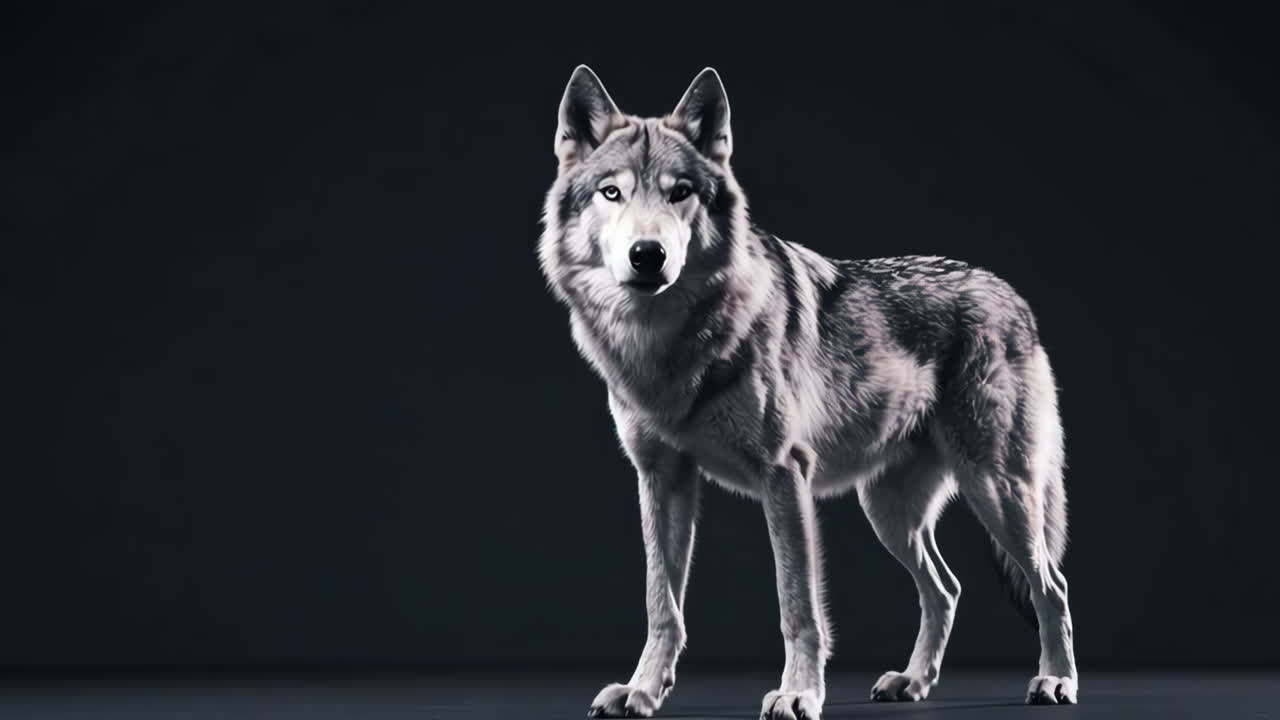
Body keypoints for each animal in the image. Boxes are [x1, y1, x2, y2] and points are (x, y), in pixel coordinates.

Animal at [538, 66, 1079, 719]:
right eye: (612, 193)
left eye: (680, 192)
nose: (648, 255)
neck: (670, 348)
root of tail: (1011, 294)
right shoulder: (660, 478)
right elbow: (661, 604)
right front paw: (642, 690)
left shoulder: (784, 476)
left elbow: (797, 604)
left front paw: (799, 693)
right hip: (889, 513)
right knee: (946, 588)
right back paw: (912, 682)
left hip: (998, 493)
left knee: (1051, 585)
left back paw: (1057, 681)